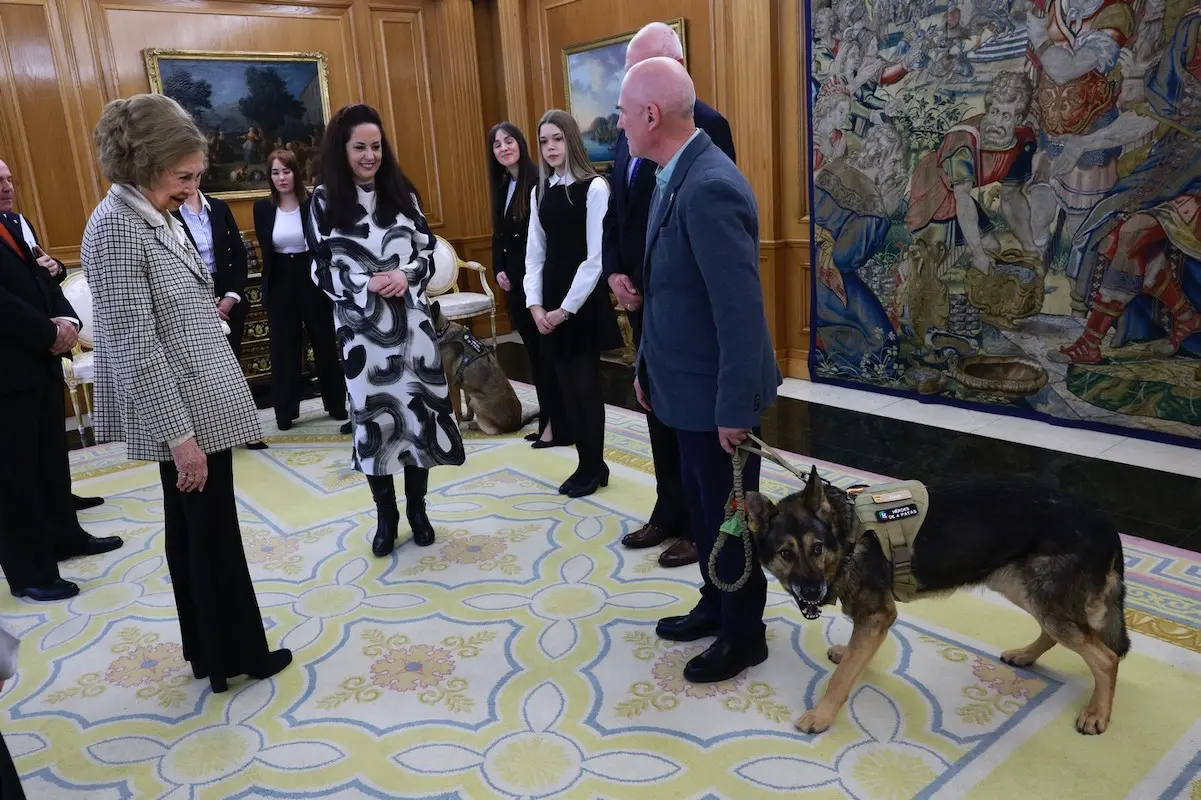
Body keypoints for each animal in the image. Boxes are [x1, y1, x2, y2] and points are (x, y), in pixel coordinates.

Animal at [744, 468, 1128, 735]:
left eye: (817, 548)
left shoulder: (877, 614)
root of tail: (1104, 520)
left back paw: (1097, 713)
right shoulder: (874, 619)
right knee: (1061, 633)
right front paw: (849, 655)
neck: (846, 535)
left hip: (1040, 594)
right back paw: (1026, 655)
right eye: (786, 554)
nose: (812, 593)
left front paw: (822, 715)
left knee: (1106, 658)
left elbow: (841, 678)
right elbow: (855, 656)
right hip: (1020, 586)